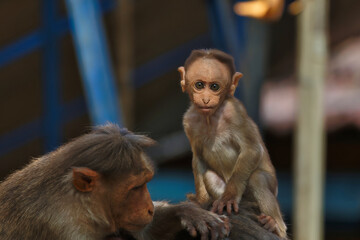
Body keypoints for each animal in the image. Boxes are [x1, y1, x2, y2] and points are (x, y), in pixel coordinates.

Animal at [0, 124, 231, 239]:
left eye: (145, 183)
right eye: (135, 187)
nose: (149, 209)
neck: (80, 205)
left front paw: (187, 212)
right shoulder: (68, 229)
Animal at [179, 48, 288, 238]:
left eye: (214, 87)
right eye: (199, 85)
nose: (206, 99)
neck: (210, 117)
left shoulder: (234, 111)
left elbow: (252, 149)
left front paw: (229, 198)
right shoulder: (189, 122)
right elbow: (198, 157)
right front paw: (200, 203)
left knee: (258, 178)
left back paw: (276, 226)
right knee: (210, 175)